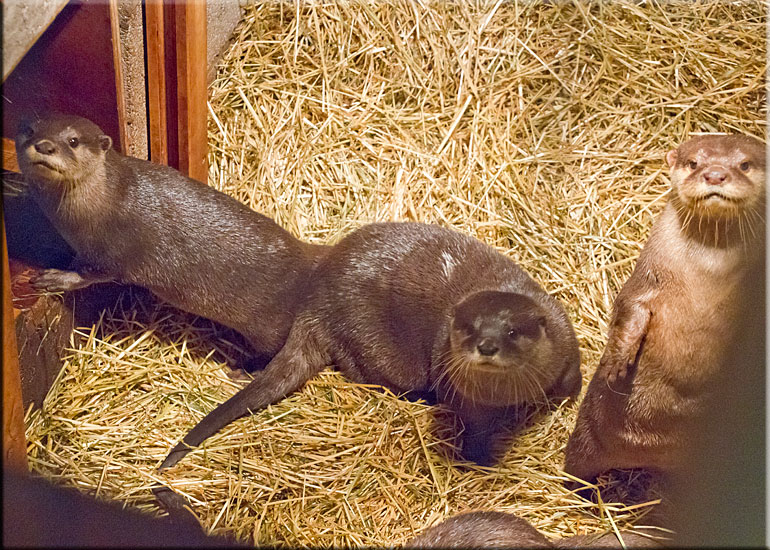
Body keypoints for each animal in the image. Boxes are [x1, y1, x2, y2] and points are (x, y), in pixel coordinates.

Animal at [15, 113, 327, 371]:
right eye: (30, 130)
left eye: (73, 141)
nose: (44, 146)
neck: (102, 202)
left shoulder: (111, 251)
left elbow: (90, 275)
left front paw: (57, 277)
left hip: (269, 324)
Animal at [158, 222, 581, 475]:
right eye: (468, 328)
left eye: (512, 331)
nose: (488, 344)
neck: (512, 394)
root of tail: (316, 301)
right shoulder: (469, 398)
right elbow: (474, 430)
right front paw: (478, 460)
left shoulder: (563, 336)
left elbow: (572, 376)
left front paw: (569, 397)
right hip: (368, 342)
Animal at [563, 134, 766, 484]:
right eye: (694, 162)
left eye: (744, 164)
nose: (715, 175)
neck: (708, 270)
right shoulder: (648, 278)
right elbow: (630, 310)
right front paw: (617, 363)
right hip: (586, 436)